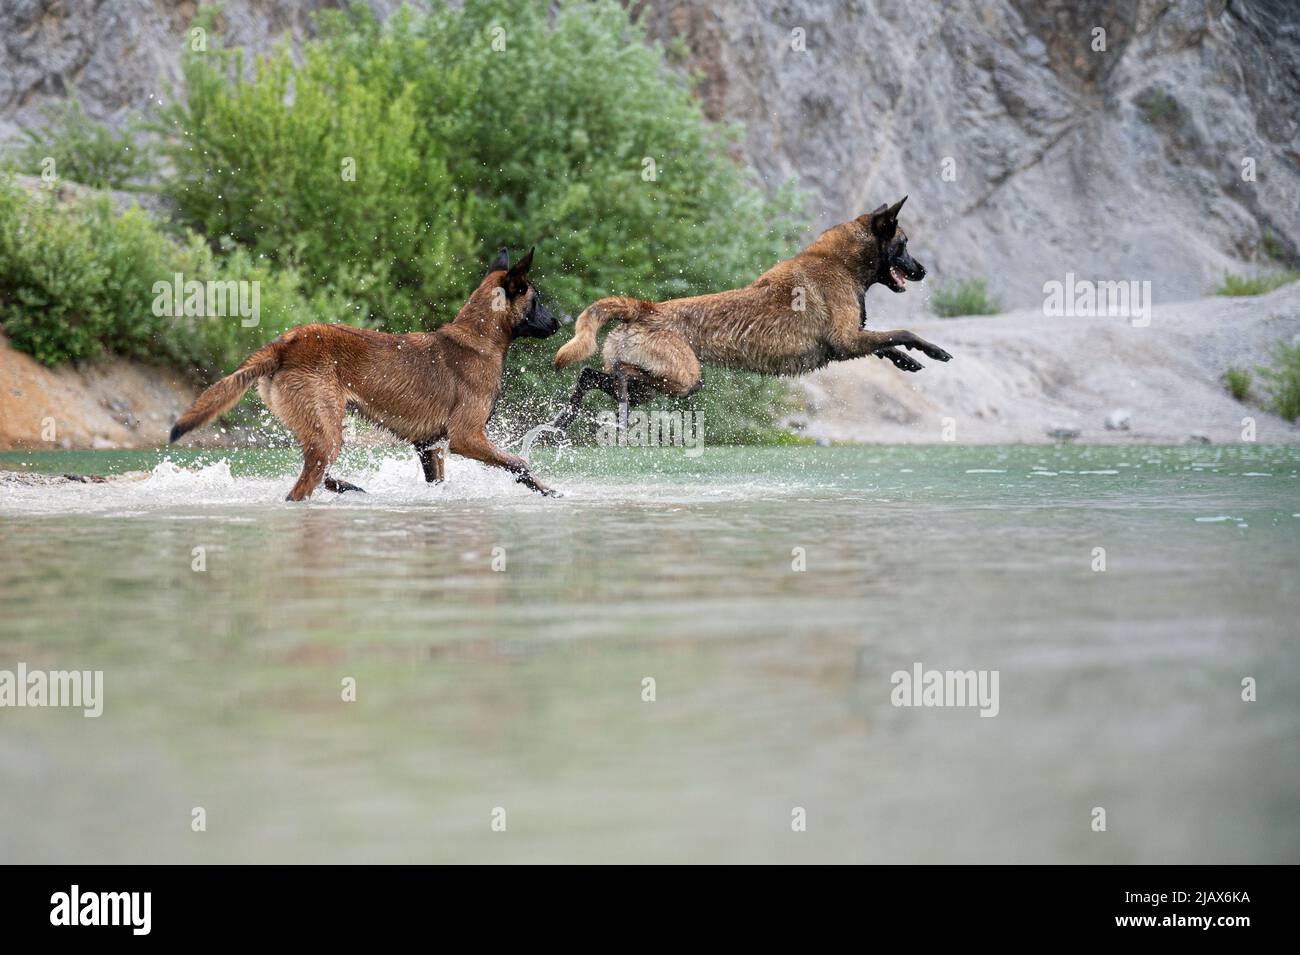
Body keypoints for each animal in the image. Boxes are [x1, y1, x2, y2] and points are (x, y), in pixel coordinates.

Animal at [167, 246, 559, 501]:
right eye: (537, 300)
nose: (558, 323)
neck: (479, 337)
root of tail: (286, 344)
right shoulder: (467, 436)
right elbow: (519, 462)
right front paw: (548, 489)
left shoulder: (429, 446)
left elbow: (439, 482)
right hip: (327, 430)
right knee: (301, 488)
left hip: (318, 428)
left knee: (318, 471)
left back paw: (348, 487)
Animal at [551, 197, 956, 426]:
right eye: (904, 244)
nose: (923, 271)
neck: (840, 262)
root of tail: (644, 309)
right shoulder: (846, 339)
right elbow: (901, 332)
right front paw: (933, 350)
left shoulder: (850, 340)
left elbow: (886, 343)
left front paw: (909, 360)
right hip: (683, 378)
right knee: (619, 374)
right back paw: (614, 408)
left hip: (656, 384)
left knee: (590, 375)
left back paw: (564, 419)